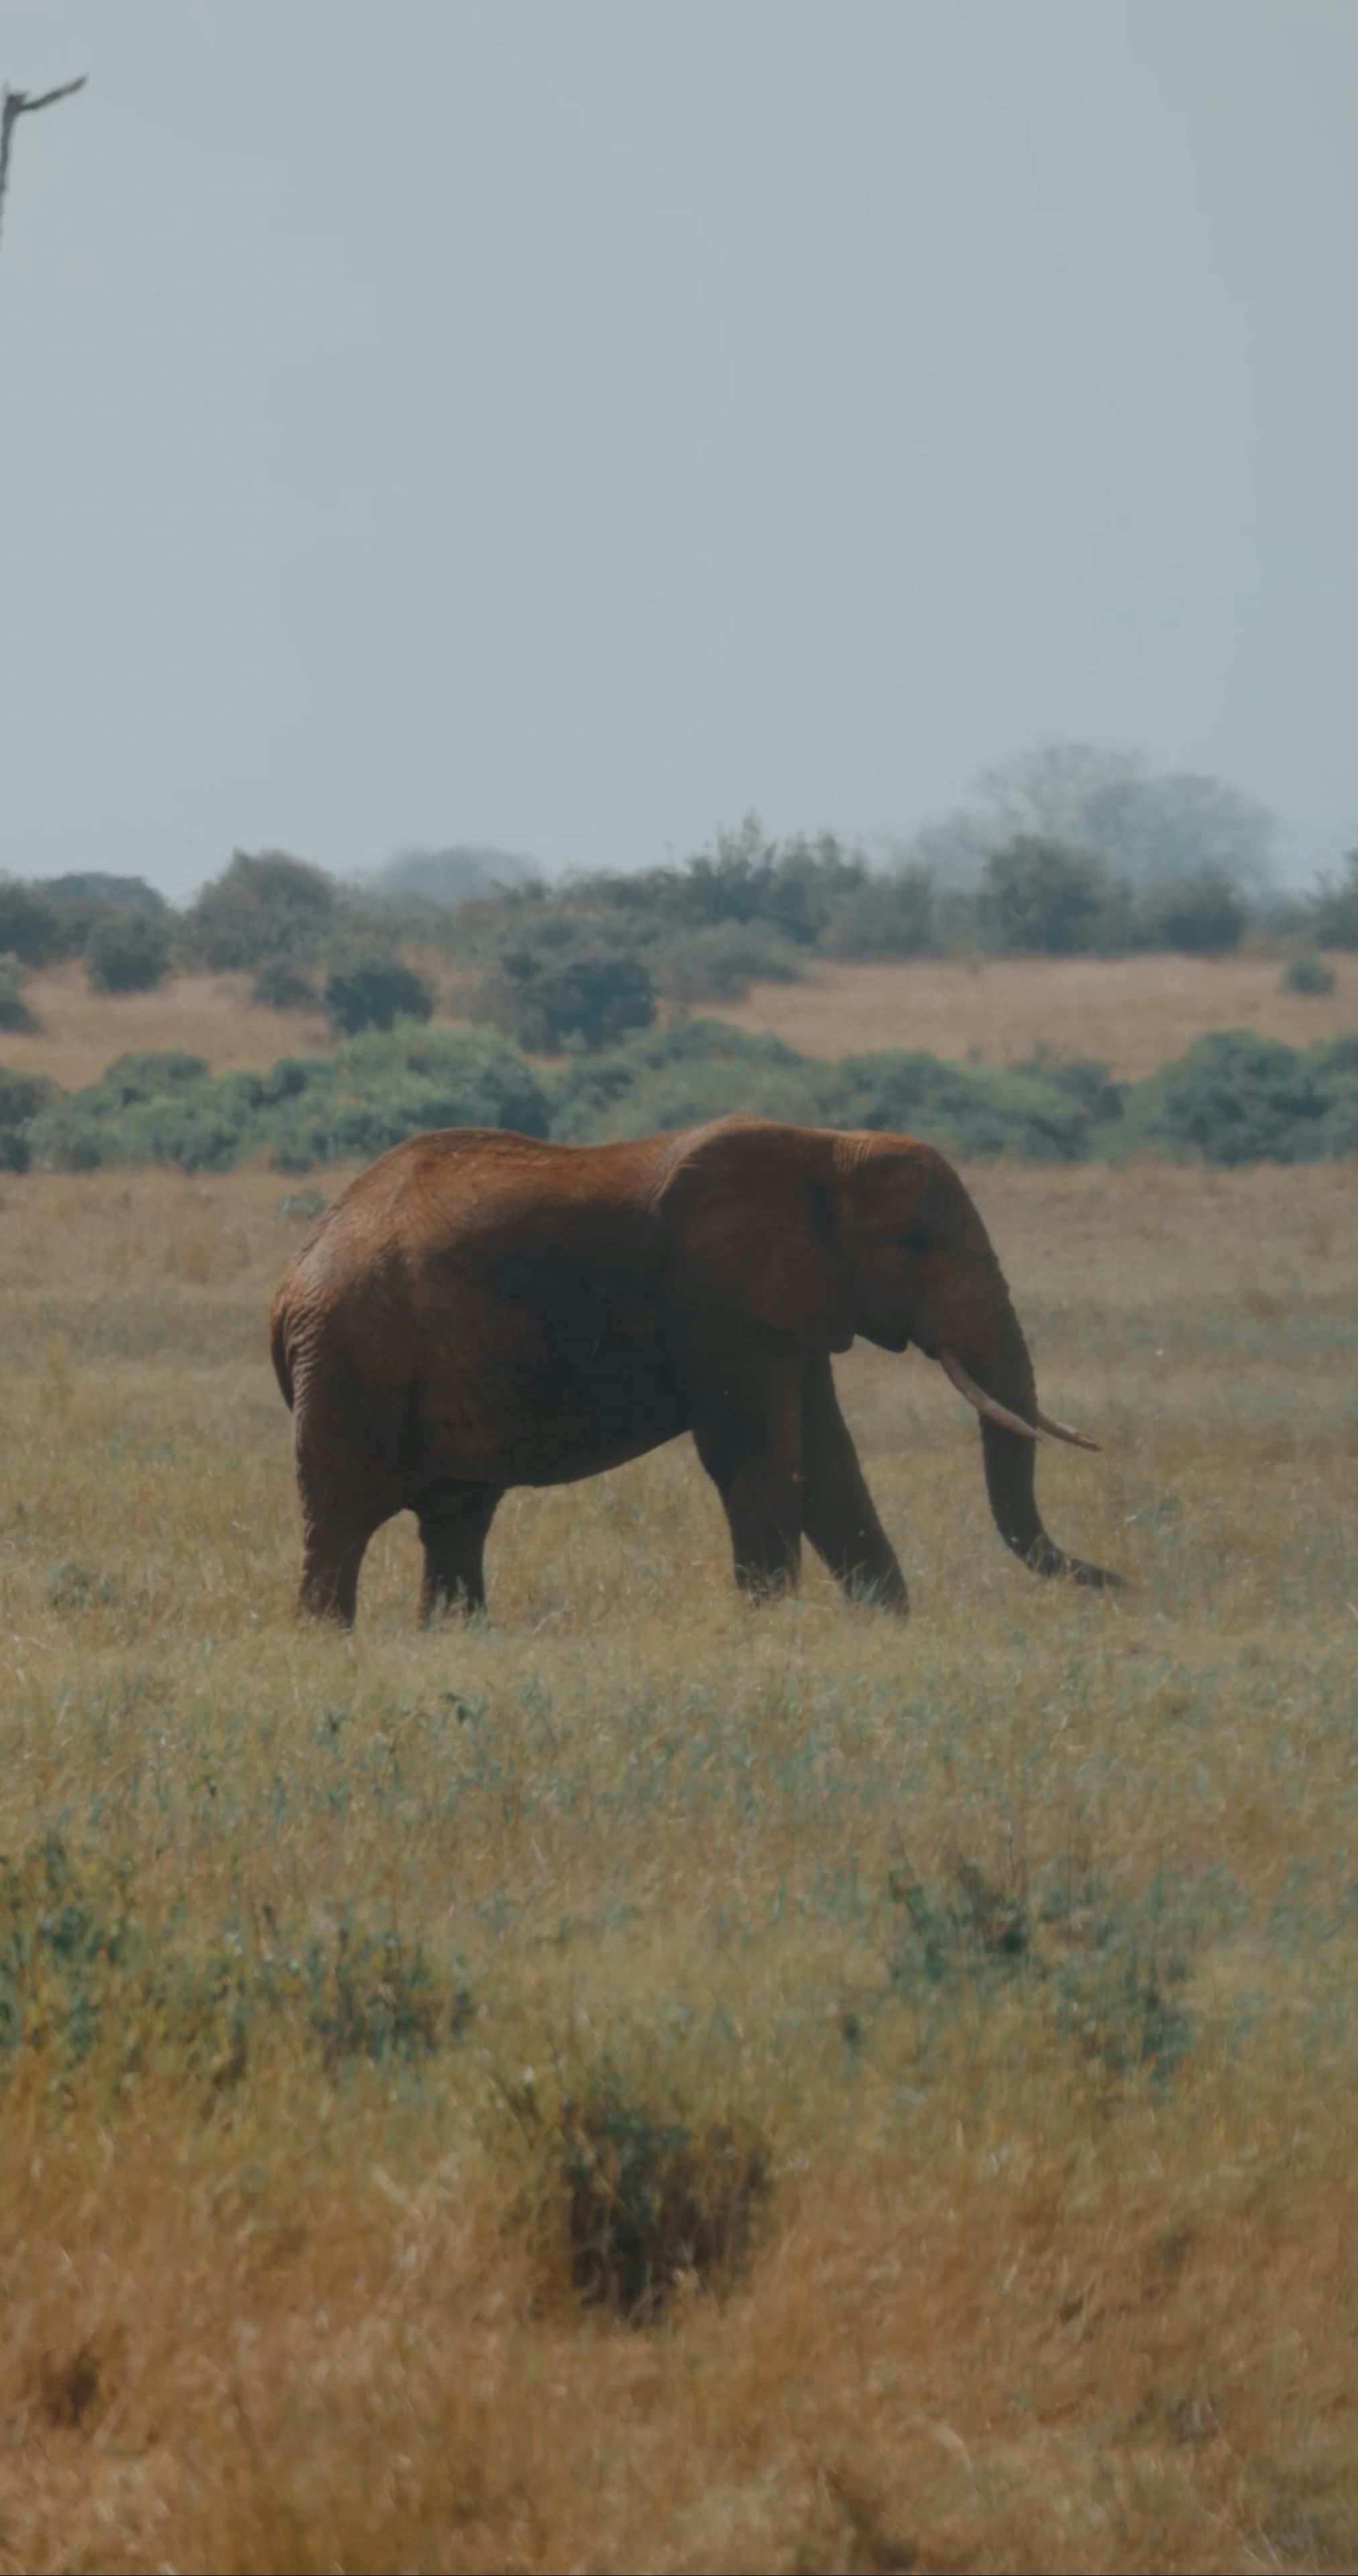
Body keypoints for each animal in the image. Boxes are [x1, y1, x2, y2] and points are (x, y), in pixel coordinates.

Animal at [269, 1116, 1121, 1626]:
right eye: (916, 1244)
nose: (1121, 1581)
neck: (826, 1145)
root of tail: (294, 1277)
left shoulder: (790, 1311)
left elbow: (831, 1466)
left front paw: (887, 1627)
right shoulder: (721, 1302)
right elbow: (760, 1459)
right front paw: (771, 1631)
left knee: (456, 1520)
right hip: (349, 1366)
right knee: (340, 1524)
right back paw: (329, 1645)